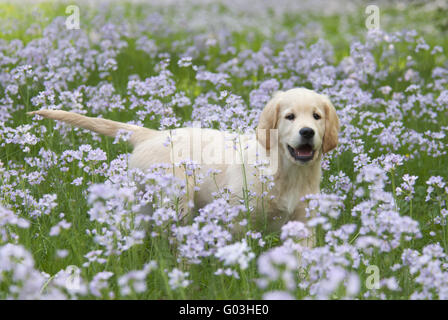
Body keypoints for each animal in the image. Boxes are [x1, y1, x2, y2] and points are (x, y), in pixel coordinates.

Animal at [28, 87, 340, 245]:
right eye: (289, 117)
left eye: (316, 116)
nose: (307, 132)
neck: (287, 171)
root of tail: (151, 135)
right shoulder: (240, 218)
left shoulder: (304, 222)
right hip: (176, 199)